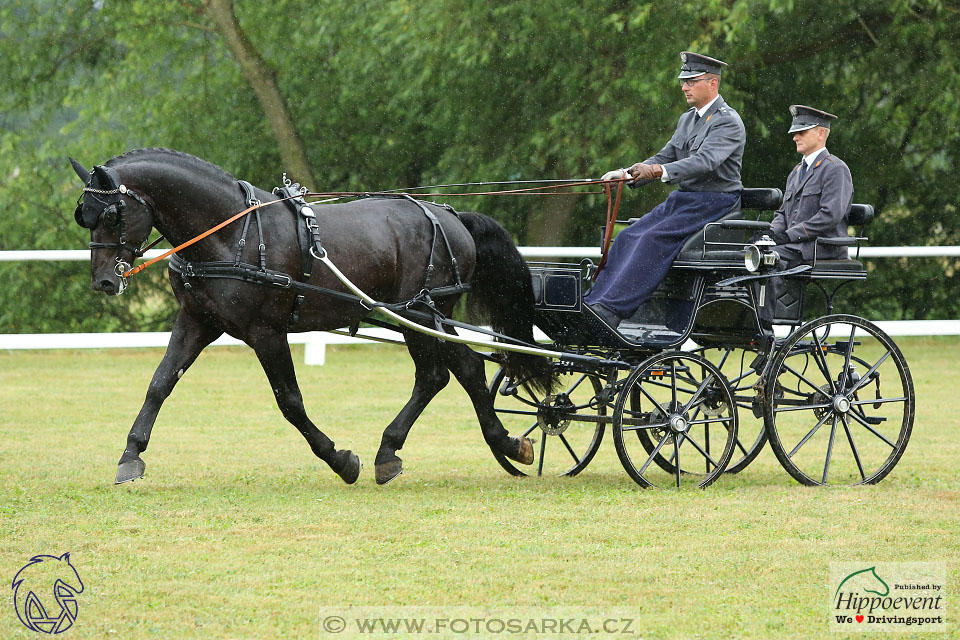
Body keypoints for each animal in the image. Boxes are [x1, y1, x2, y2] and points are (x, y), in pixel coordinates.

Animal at [71, 149, 552, 484]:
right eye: (84, 217)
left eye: (111, 214)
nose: (103, 282)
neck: (231, 232)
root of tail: (448, 214)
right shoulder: (197, 321)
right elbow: (160, 383)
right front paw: (131, 456)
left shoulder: (266, 331)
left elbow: (290, 401)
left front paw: (341, 460)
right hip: (423, 316)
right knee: (460, 371)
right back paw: (493, 444)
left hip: (421, 312)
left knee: (441, 374)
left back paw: (407, 450)